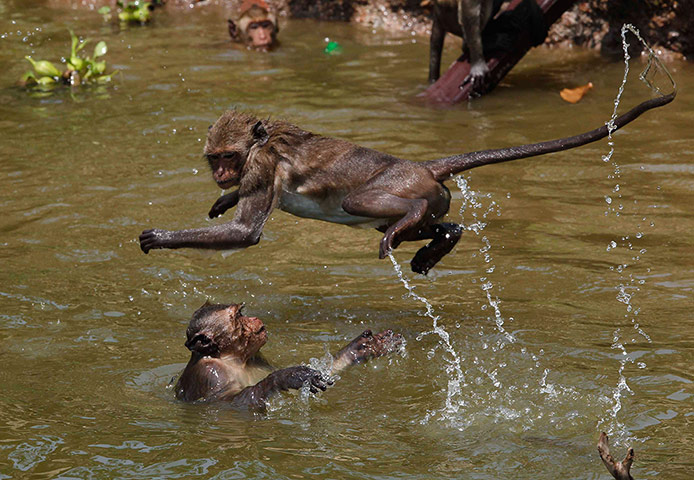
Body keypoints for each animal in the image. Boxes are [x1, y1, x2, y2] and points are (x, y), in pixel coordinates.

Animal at [139, 90, 675, 275]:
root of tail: (425, 165)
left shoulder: (261, 164)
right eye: (214, 160)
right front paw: (223, 200)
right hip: (435, 195)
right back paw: (441, 239)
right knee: (429, 222)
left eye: (228, 157)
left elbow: (246, 234)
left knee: (364, 204)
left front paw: (159, 237)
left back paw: (412, 227)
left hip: (403, 184)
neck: (260, 144)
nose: (221, 174)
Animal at [175, 302, 403, 410]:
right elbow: (226, 403)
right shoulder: (210, 372)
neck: (234, 358)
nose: (253, 318)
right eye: (239, 316)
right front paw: (288, 376)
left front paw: (364, 347)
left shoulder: (259, 357)